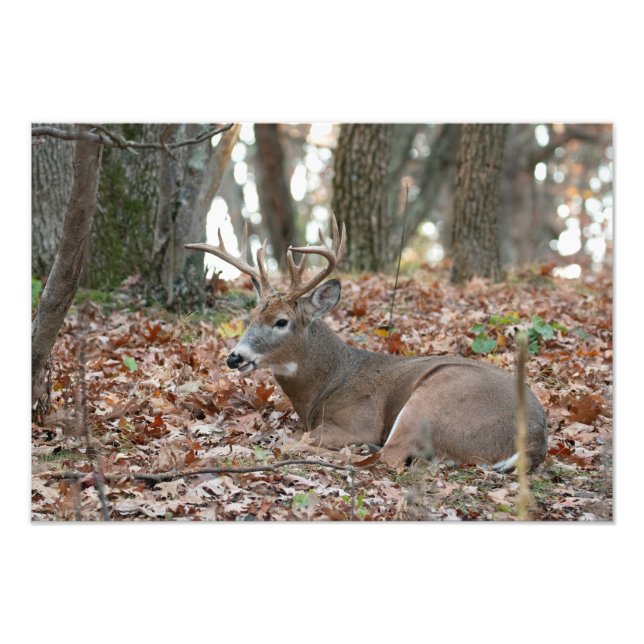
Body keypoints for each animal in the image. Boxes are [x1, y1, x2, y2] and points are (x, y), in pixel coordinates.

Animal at [185, 214, 548, 472]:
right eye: (251, 317)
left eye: (281, 321)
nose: (235, 357)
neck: (325, 384)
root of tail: (534, 441)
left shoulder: (359, 421)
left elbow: (300, 437)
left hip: (433, 400)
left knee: (388, 456)